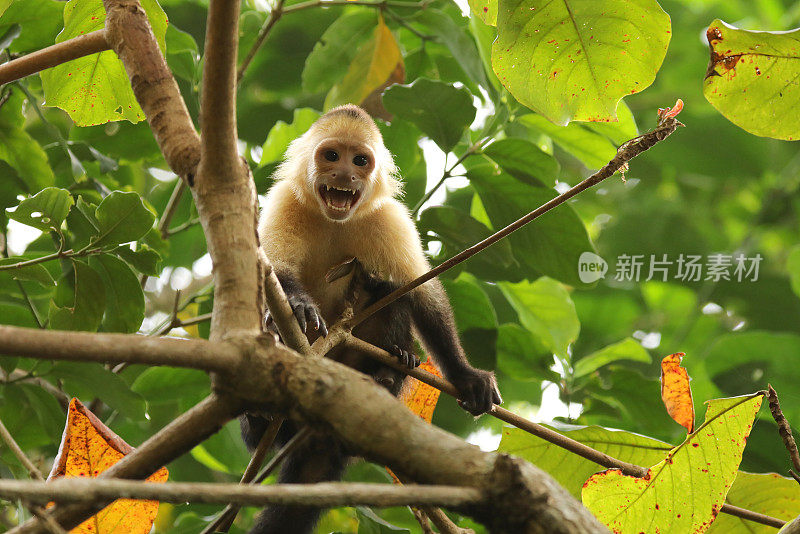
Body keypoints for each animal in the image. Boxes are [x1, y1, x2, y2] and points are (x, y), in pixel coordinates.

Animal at [242, 104, 500, 534]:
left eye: (360, 161)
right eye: (332, 156)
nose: (344, 175)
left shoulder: (390, 218)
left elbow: (420, 293)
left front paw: (465, 376)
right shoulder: (283, 203)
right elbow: (271, 273)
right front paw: (298, 306)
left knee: (385, 289)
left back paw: (390, 371)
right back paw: (260, 417)